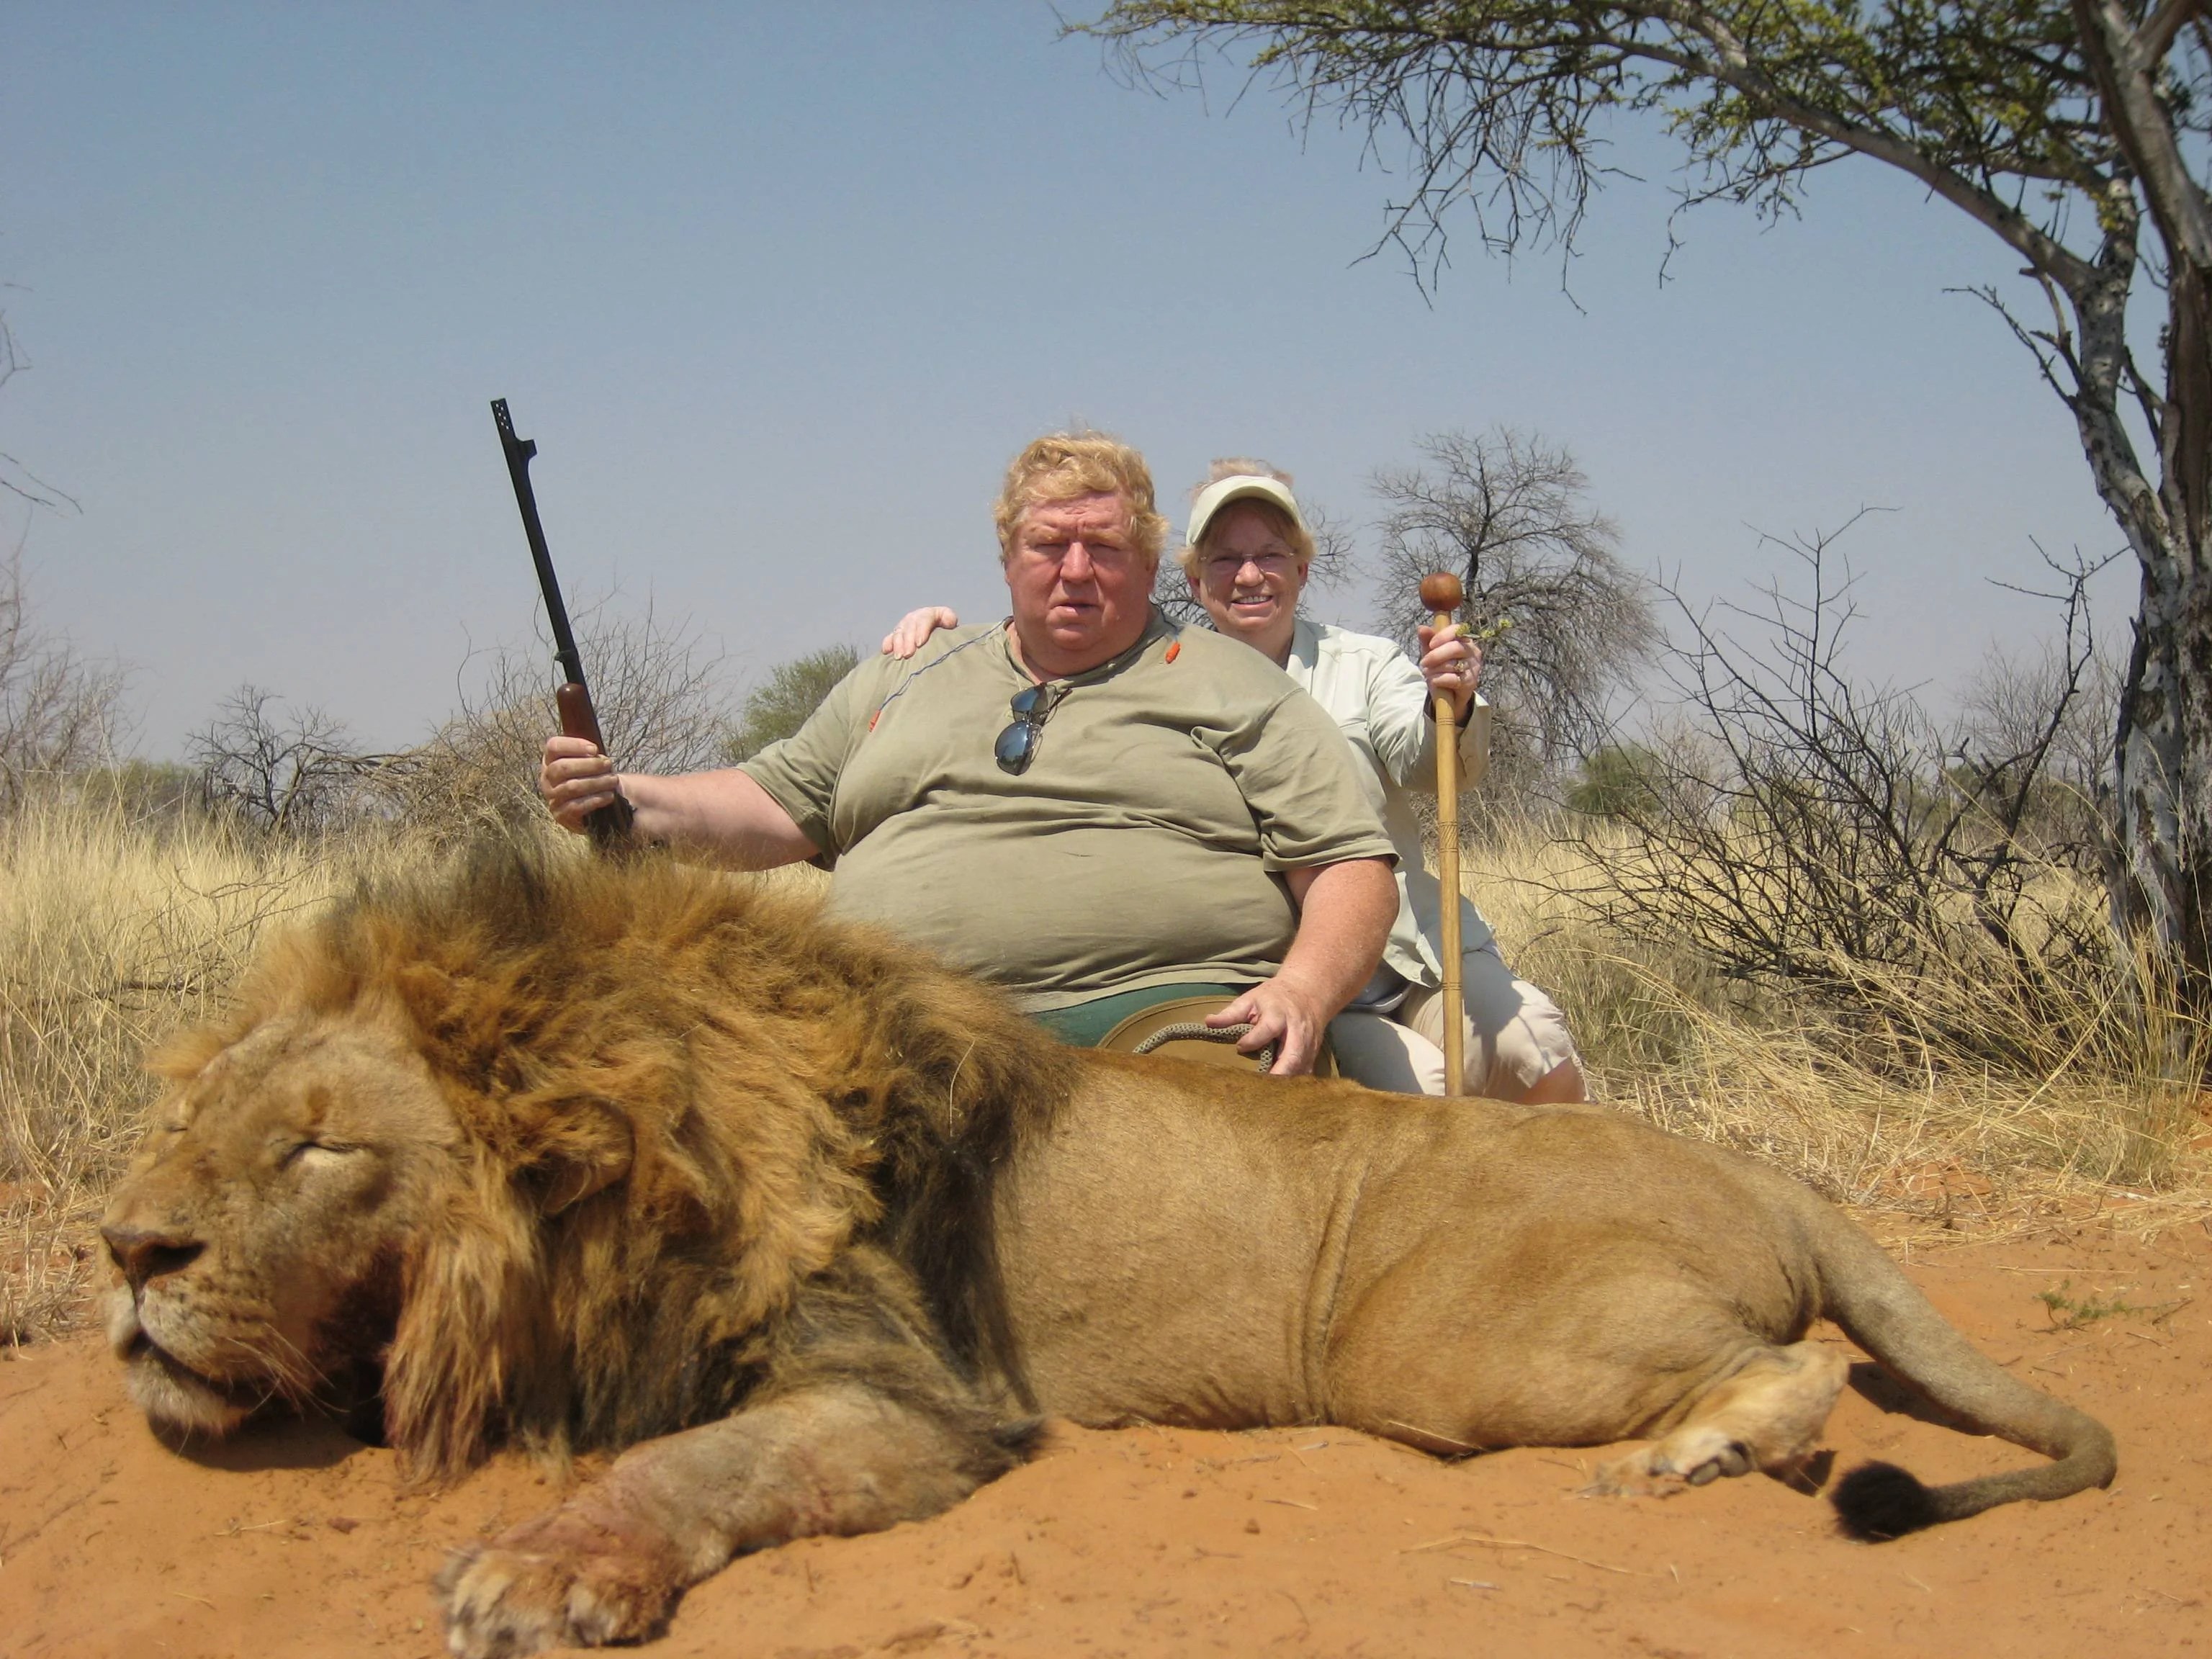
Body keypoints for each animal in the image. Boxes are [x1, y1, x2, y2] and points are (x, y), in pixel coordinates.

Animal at [102, 847, 2115, 1659]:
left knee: (1788, 1373)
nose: (126, 1249)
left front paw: (544, 1571)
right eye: (201, 1124)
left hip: (1439, 1345)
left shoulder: (911, 1402)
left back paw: (1687, 1455)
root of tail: (1771, 1177)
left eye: (323, 1145)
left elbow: (696, 1464)